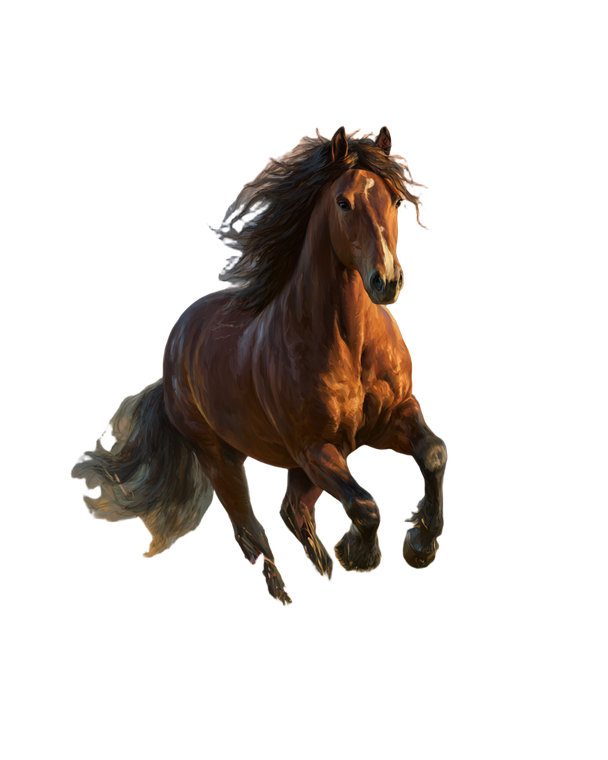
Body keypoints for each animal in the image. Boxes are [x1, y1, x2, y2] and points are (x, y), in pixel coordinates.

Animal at [70, 125, 448, 607]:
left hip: (302, 464)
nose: (386, 281)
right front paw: (359, 553)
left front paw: (419, 547)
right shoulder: (315, 448)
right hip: (222, 458)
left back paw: (323, 568)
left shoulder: (390, 418)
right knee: (251, 530)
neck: (350, 344)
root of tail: (175, 346)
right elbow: (365, 505)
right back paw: (285, 591)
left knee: (291, 511)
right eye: (343, 202)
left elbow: (434, 454)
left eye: (395, 201)